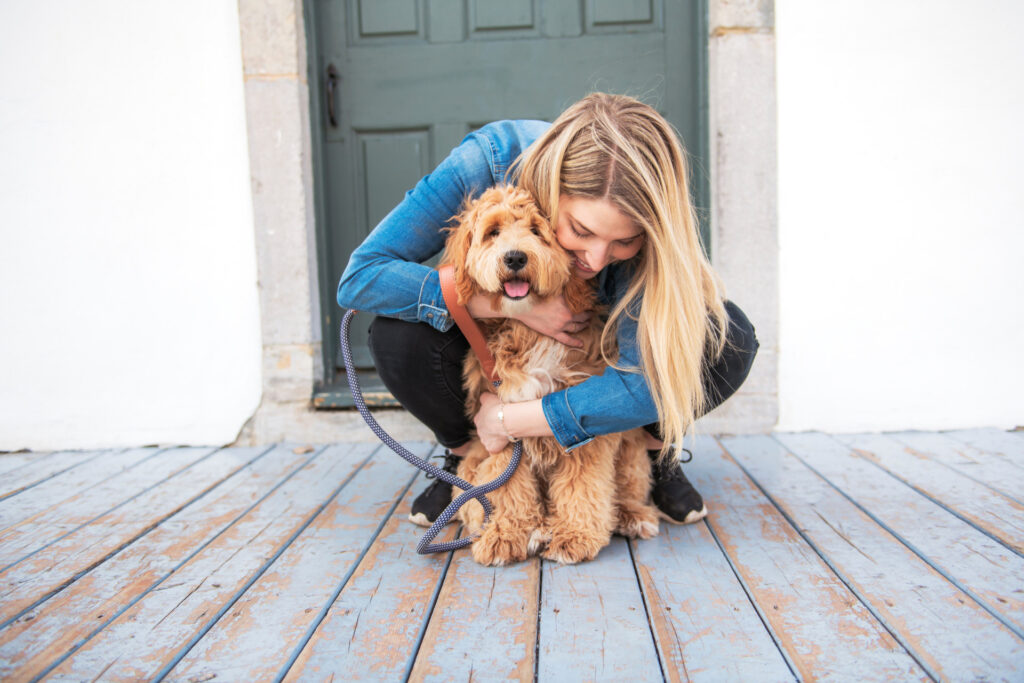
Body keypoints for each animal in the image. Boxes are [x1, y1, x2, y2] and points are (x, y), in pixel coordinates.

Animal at [438, 185, 659, 565]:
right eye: (493, 232)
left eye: (536, 231)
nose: (514, 258)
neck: (528, 329)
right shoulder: (500, 425)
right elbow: (507, 485)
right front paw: (506, 533)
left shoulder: (582, 424)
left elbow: (582, 485)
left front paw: (576, 535)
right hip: (471, 464)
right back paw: (532, 527)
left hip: (631, 454)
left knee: (624, 491)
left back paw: (632, 515)